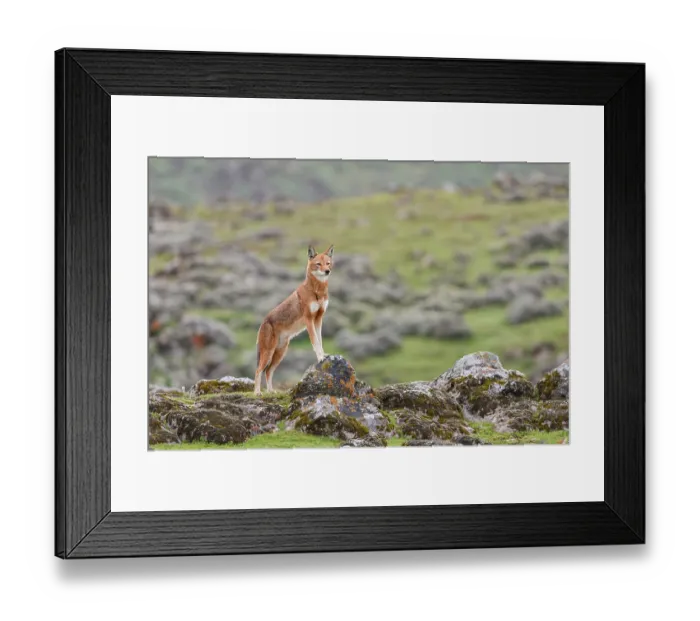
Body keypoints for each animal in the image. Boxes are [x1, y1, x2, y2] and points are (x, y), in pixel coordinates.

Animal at [254, 244, 334, 395]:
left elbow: (320, 340)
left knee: (268, 371)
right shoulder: (309, 320)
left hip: (280, 353)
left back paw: (271, 391)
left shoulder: (319, 319)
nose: (327, 271)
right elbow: (315, 341)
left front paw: (324, 355)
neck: (317, 292)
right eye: (318, 264)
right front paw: (320, 358)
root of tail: (263, 322)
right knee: (258, 370)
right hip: (268, 353)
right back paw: (257, 393)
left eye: (328, 263)